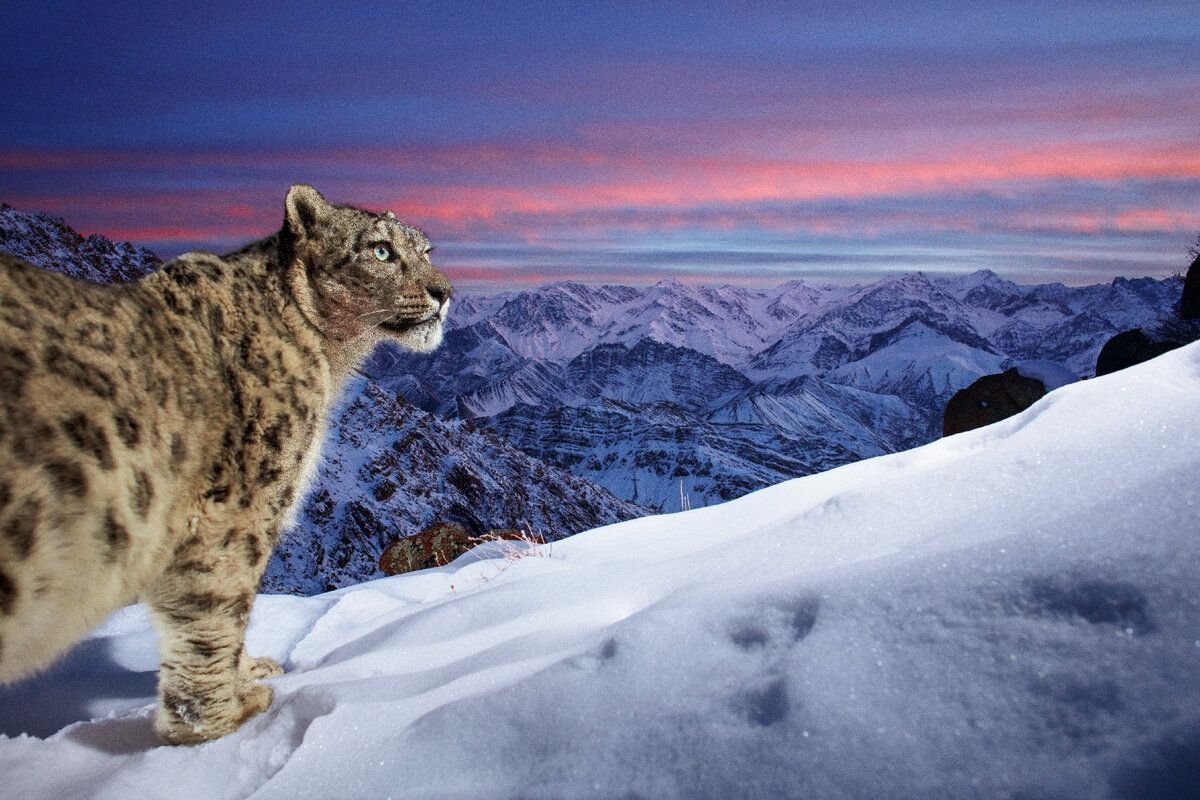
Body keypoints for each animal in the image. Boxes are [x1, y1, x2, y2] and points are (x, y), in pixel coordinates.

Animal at [0, 185, 451, 743]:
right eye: (381, 250)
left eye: (426, 250)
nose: (444, 291)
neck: (329, 360)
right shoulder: (238, 509)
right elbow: (216, 611)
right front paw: (221, 720)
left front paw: (248, 673)